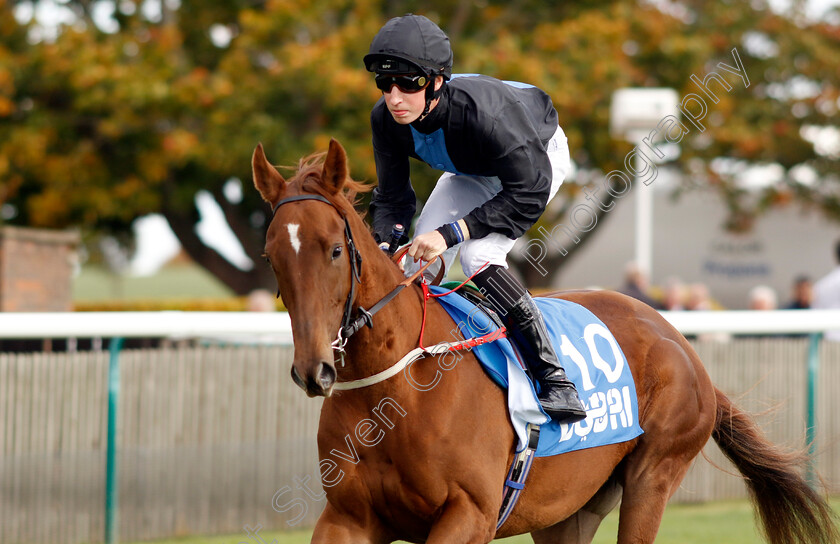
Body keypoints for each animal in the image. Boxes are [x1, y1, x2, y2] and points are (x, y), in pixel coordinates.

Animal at [251, 138, 840, 540]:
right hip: (568, 510)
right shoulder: (348, 517)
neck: (396, 388)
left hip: (654, 476)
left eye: (333, 250)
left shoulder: (469, 514)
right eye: (272, 256)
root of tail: (678, 341)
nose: (314, 370)